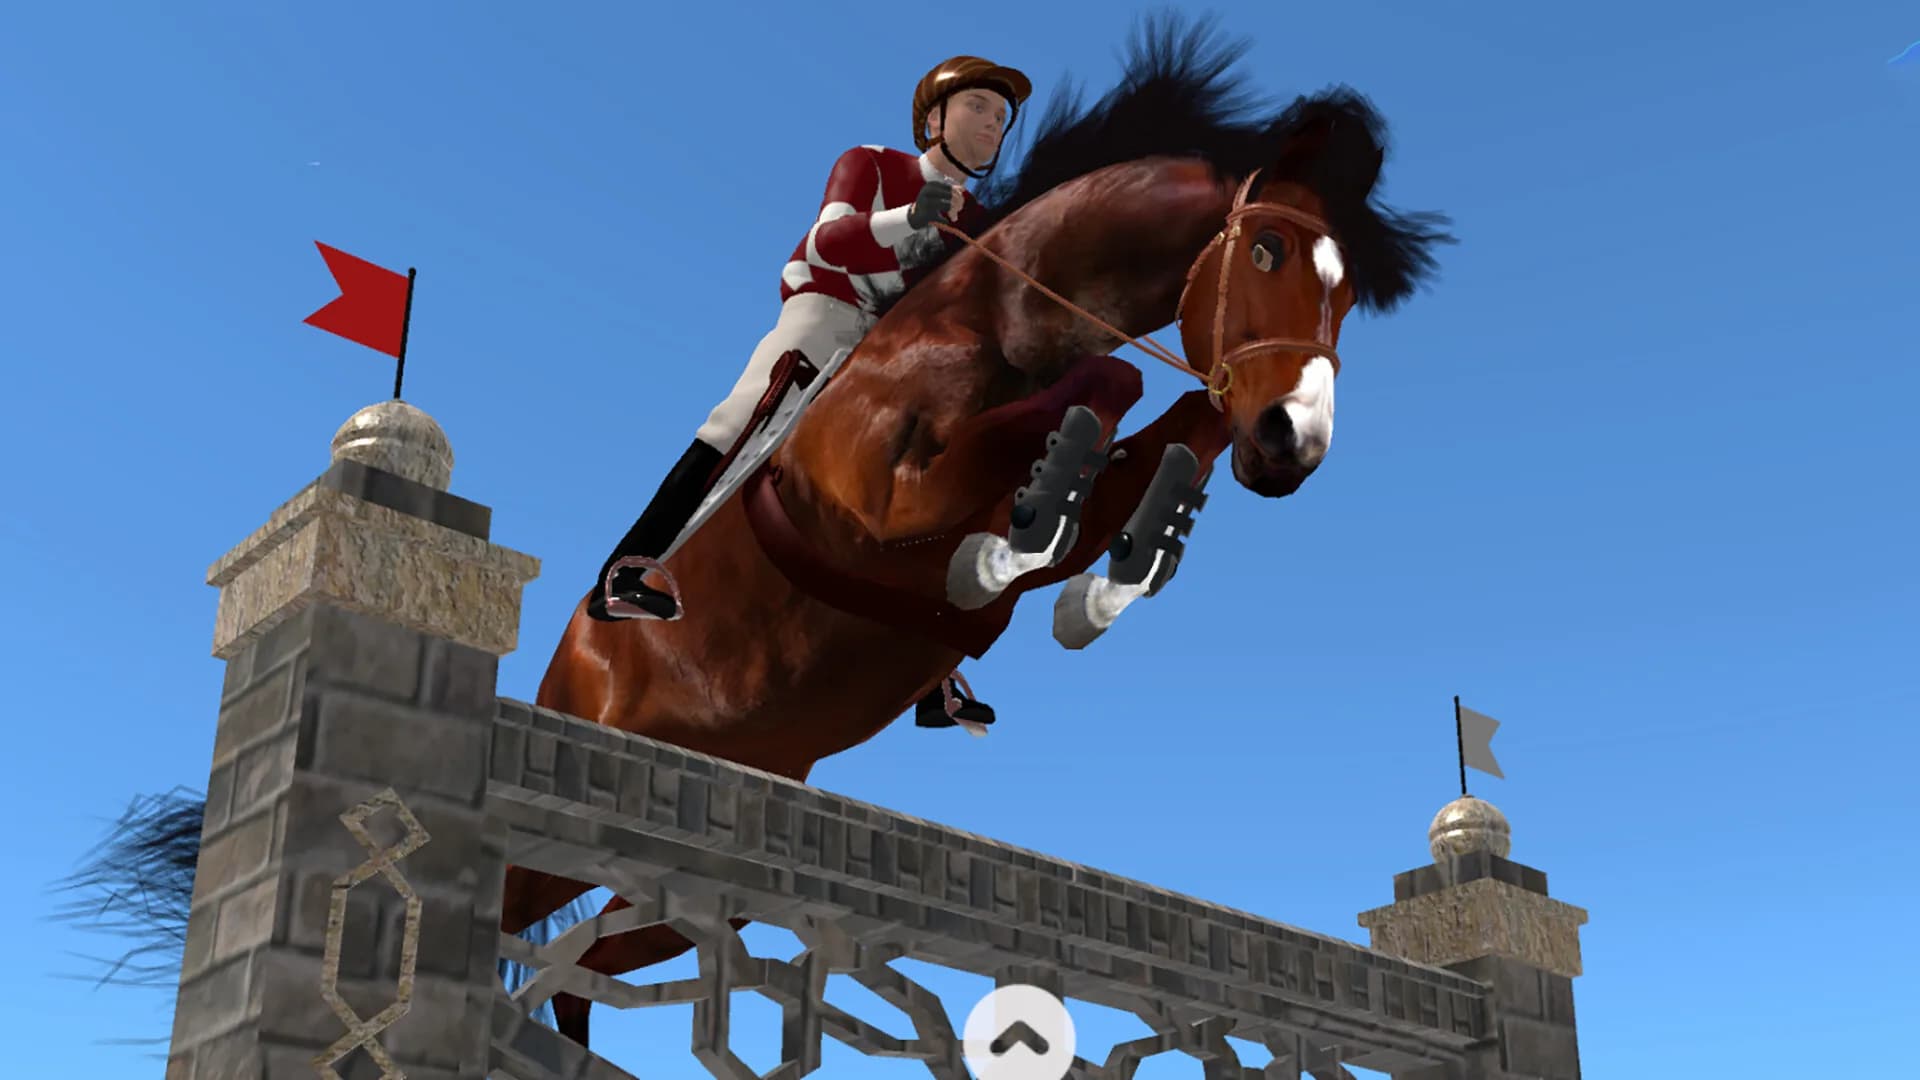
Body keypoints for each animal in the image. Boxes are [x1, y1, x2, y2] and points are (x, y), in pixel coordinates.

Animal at [502, 16, 1452, 1048]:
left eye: (1347, 294)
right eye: (1269, 252)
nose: (1292, 445)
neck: (999, 322)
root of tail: (570, 653)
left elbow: (1163, 435)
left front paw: (1101, 582)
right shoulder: (874, 500)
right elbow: (1104, 395)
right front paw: (1004, 549)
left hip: (699, 851)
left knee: (590, 960)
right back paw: (630, 589)